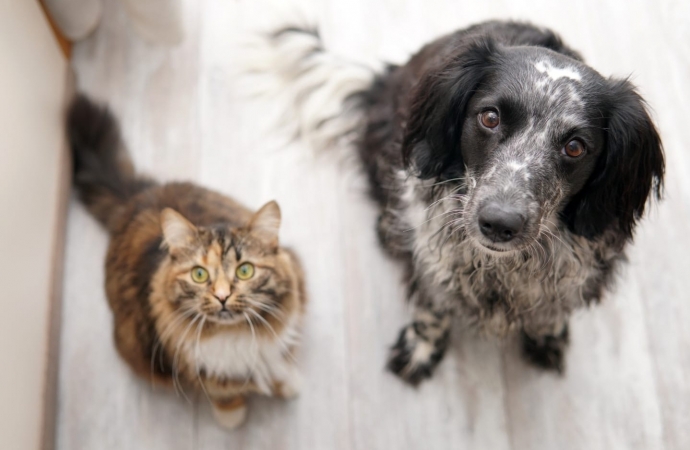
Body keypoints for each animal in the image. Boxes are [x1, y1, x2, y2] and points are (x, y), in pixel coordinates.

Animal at [66, 95, 304, 428]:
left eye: (245, 270)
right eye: (199, 275)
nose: (222, 296)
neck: (233, 336)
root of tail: (137, 197)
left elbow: (276, 360)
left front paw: (287, 383)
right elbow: (222, 389)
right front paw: (231, 416)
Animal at [256, 21, 660, 384]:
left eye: (575, 147)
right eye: (490, 117)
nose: (499, 223)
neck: (502, 270)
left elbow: (552, 307)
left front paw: (547, 334)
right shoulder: (431, 254)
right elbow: (432, 305)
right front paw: (421, 348)